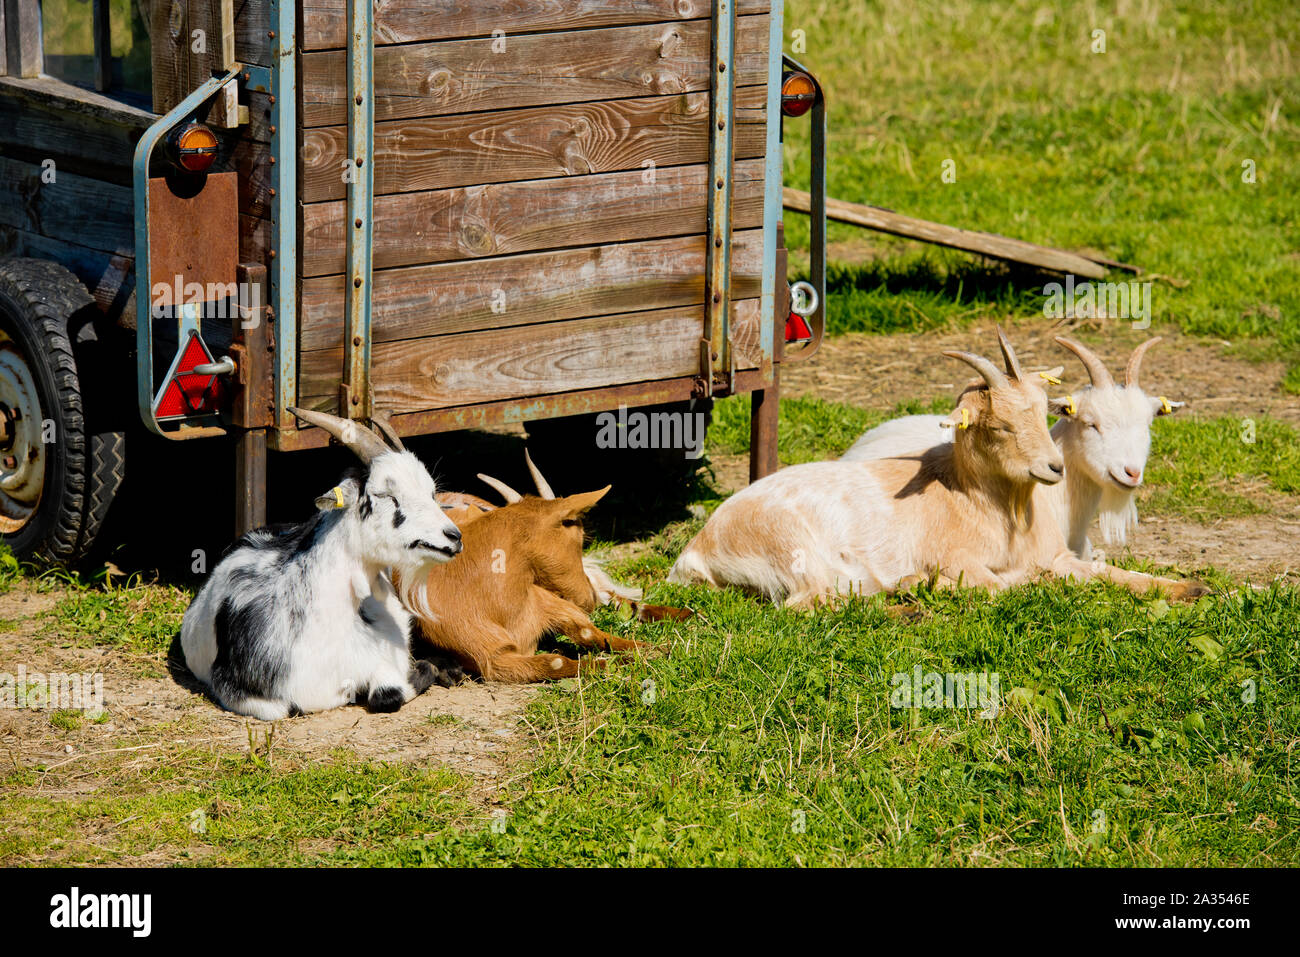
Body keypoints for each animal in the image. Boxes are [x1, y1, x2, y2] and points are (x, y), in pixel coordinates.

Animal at [181, 408, 464, 719]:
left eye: (432, 493)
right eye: (386, 495)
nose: (453, 536)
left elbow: (389, 690)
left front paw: (435, 668)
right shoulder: (245, 694)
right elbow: (385, 696)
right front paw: (428, 670)